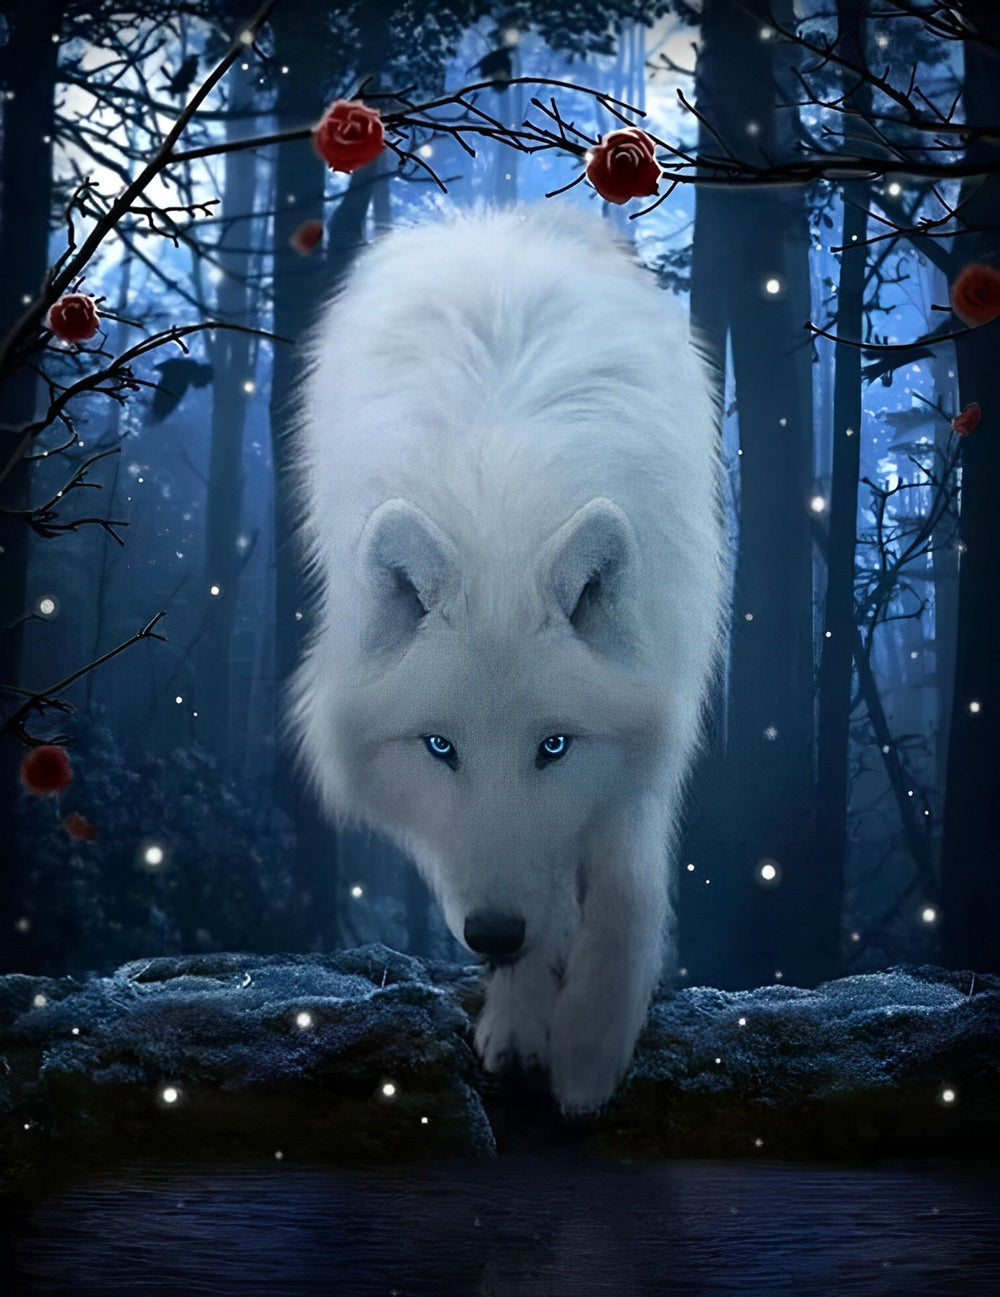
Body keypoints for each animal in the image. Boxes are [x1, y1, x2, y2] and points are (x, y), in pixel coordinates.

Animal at [289, 205, 726, 1113]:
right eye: (439, 746)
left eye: (553, 746)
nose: (492, 933)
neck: (501, 517)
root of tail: (491, 221)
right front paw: (525, 1019)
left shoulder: (654, 708)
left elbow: (624, 880)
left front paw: (591, 1043)